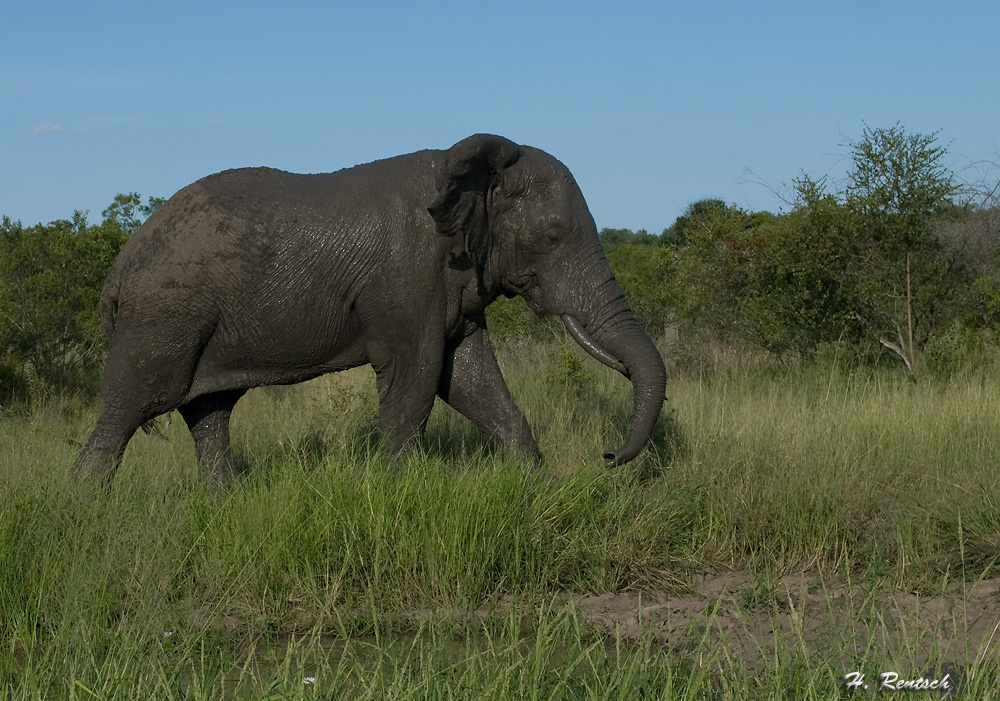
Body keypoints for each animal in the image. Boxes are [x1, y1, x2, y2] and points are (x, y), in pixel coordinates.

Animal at [72, 134, 667, 483]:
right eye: (552, 236)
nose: (607, 458)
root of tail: (121, 264)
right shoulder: (409, 273)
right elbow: (416, 379)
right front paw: (392, 494)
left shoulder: (448, 283)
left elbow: (470, 379)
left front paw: (535, 485)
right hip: (165, 314)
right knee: (133, 406)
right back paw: (86, 506)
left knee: (209, 411)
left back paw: (224, 503)